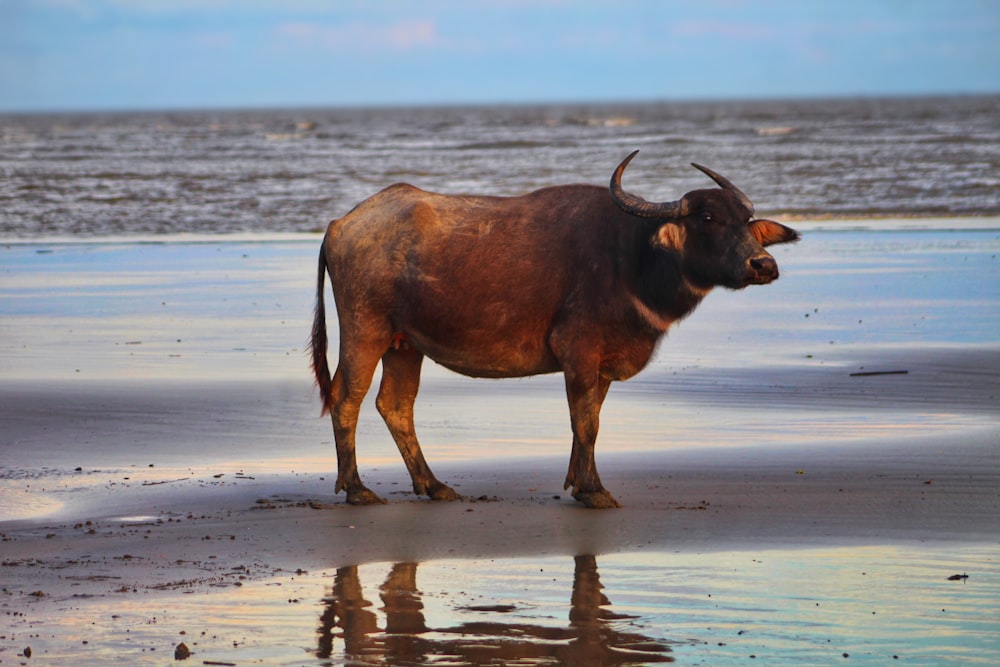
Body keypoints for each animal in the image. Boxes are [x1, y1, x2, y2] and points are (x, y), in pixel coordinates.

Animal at [308, 150, 800, 506]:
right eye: (708, 219)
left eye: (747, 221)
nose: (763, 264)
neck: (633, 258)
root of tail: (340, 224)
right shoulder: (578, 353)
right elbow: (585, 422)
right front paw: (594, 491)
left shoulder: (602, 363)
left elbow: (590, 419)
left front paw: (580, 483)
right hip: (365, 332)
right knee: (346, 399)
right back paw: (357, 489)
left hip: (405, 344)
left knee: (395, 406)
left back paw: (434, 485)